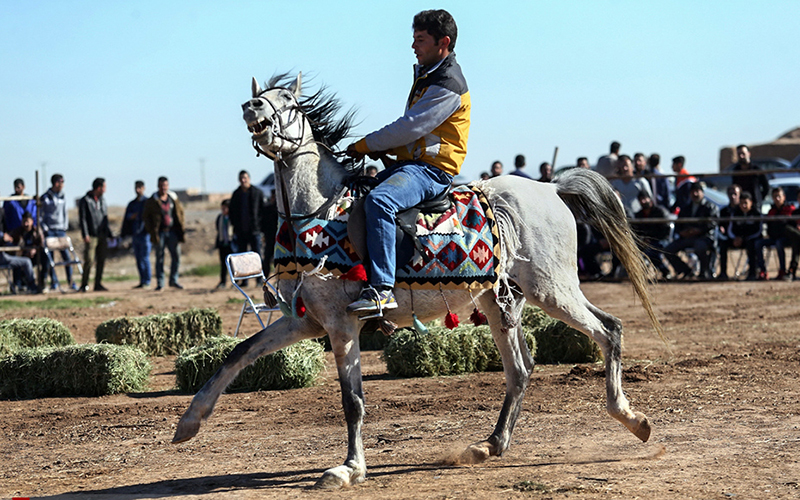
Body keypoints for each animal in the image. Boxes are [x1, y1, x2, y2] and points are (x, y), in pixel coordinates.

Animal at [173, 73, 664, 488]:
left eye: (289, 101)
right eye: (259, 95)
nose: (252, 107)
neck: (319, 213)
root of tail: (551, 187)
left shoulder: (342, 325)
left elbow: (352, 401)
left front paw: (349, 468)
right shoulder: (304, 322)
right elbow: (237, 354)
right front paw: (189, 423)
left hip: (553, 289)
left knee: (609, 330)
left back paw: (631, 418)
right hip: (502, 303)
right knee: (521, 369)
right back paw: (490, 445)